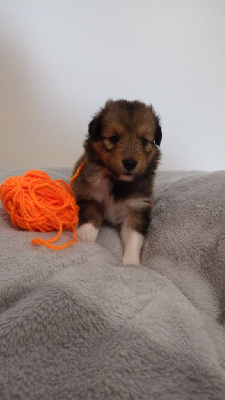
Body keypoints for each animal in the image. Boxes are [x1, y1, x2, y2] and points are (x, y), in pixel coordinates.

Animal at [72, 98, 162, 264]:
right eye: (114, 138)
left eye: (143, 140)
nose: (130, 163)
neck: (118, 182)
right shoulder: (91, 197)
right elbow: (91, 220)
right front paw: (84, 238)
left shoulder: (136, 210)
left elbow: (134, 238)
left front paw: (131, 262)